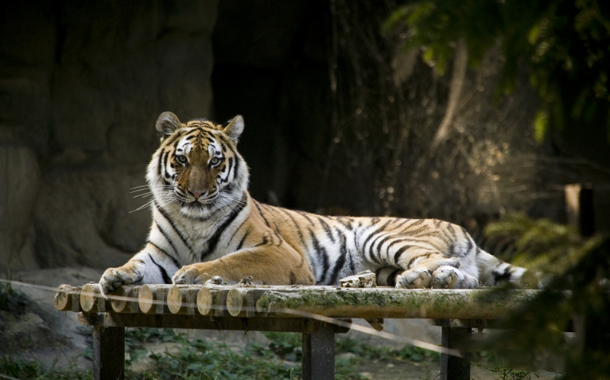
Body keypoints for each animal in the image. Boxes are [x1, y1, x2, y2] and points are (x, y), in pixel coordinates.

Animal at [97, 111, 528, 296]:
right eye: (184, 160)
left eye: (215, 162)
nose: (198, 193)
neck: (194, 219)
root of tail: (463, 228)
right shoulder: (160, 254)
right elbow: (137, 265)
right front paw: (114, 276)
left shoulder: (278, 252)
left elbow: (229, 261)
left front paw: (196, 273)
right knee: (463, 277)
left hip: (381, 236)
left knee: (443, 264)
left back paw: (415, 279)